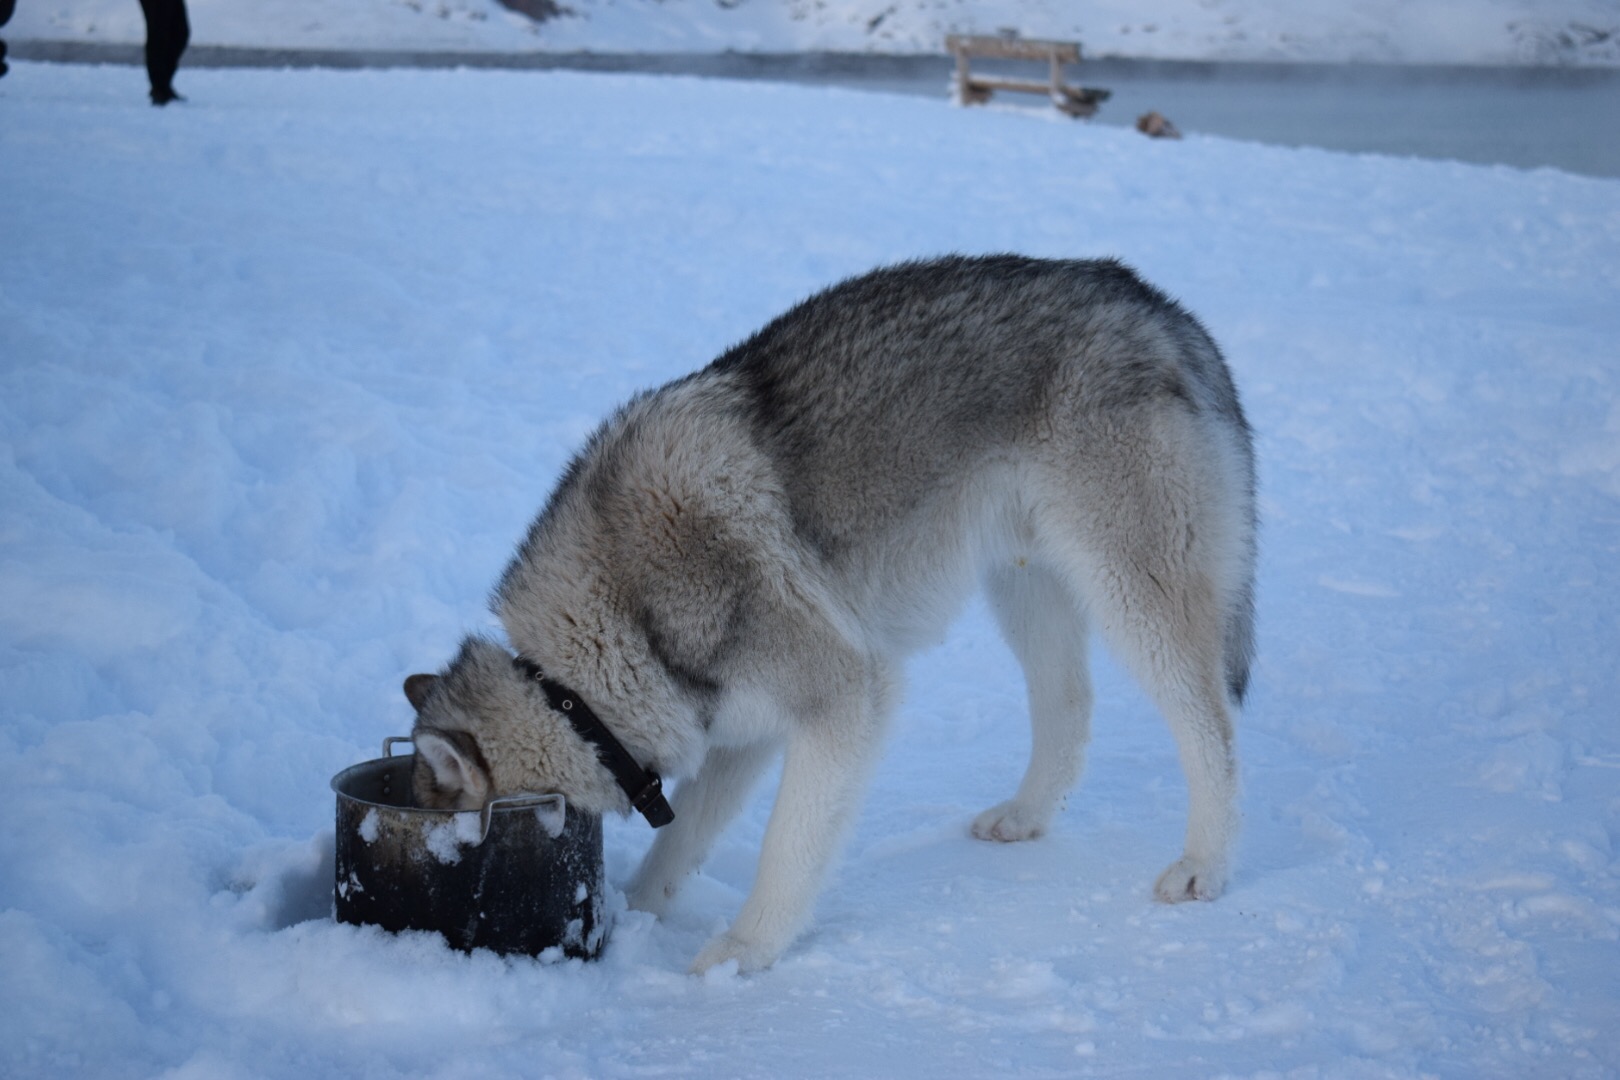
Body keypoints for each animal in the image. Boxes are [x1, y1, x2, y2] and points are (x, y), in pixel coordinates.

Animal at [401, 257, 1250, 977]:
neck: (586, 664)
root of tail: (1149, 299)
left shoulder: (843, 693)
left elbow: (787, 846)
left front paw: (743, 952)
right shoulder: (735, 728)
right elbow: (683, 838)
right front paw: (638, 913)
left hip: (1129, 591)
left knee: (1211, 725)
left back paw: (1203, 866)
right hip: (1024, 586)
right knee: (1070, 703)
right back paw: (1025, 817)